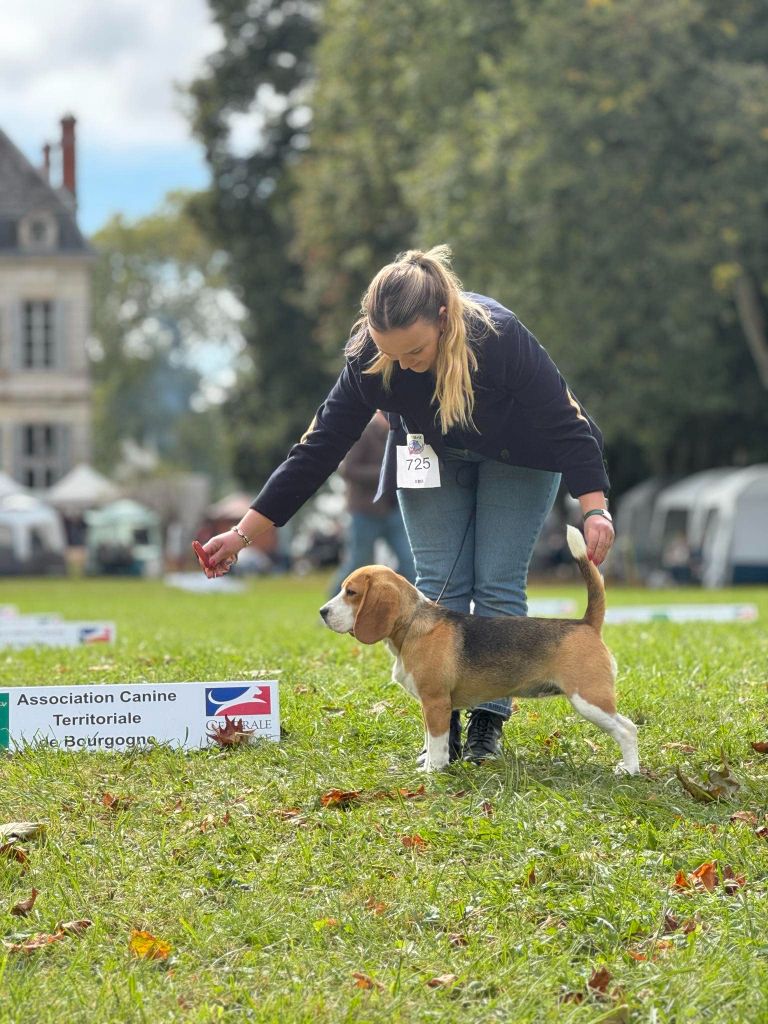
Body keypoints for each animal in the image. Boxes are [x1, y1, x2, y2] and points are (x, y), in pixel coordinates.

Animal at [321, 528, 638, 774]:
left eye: (351, 592)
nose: (322, 612)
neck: (412, 624)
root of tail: (586, 623)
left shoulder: (435, 702)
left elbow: (437, 742)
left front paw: (433, 772)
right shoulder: (431, 705)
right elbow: (432, 740)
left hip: (589, 699)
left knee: (628, 729)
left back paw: (630, 770)